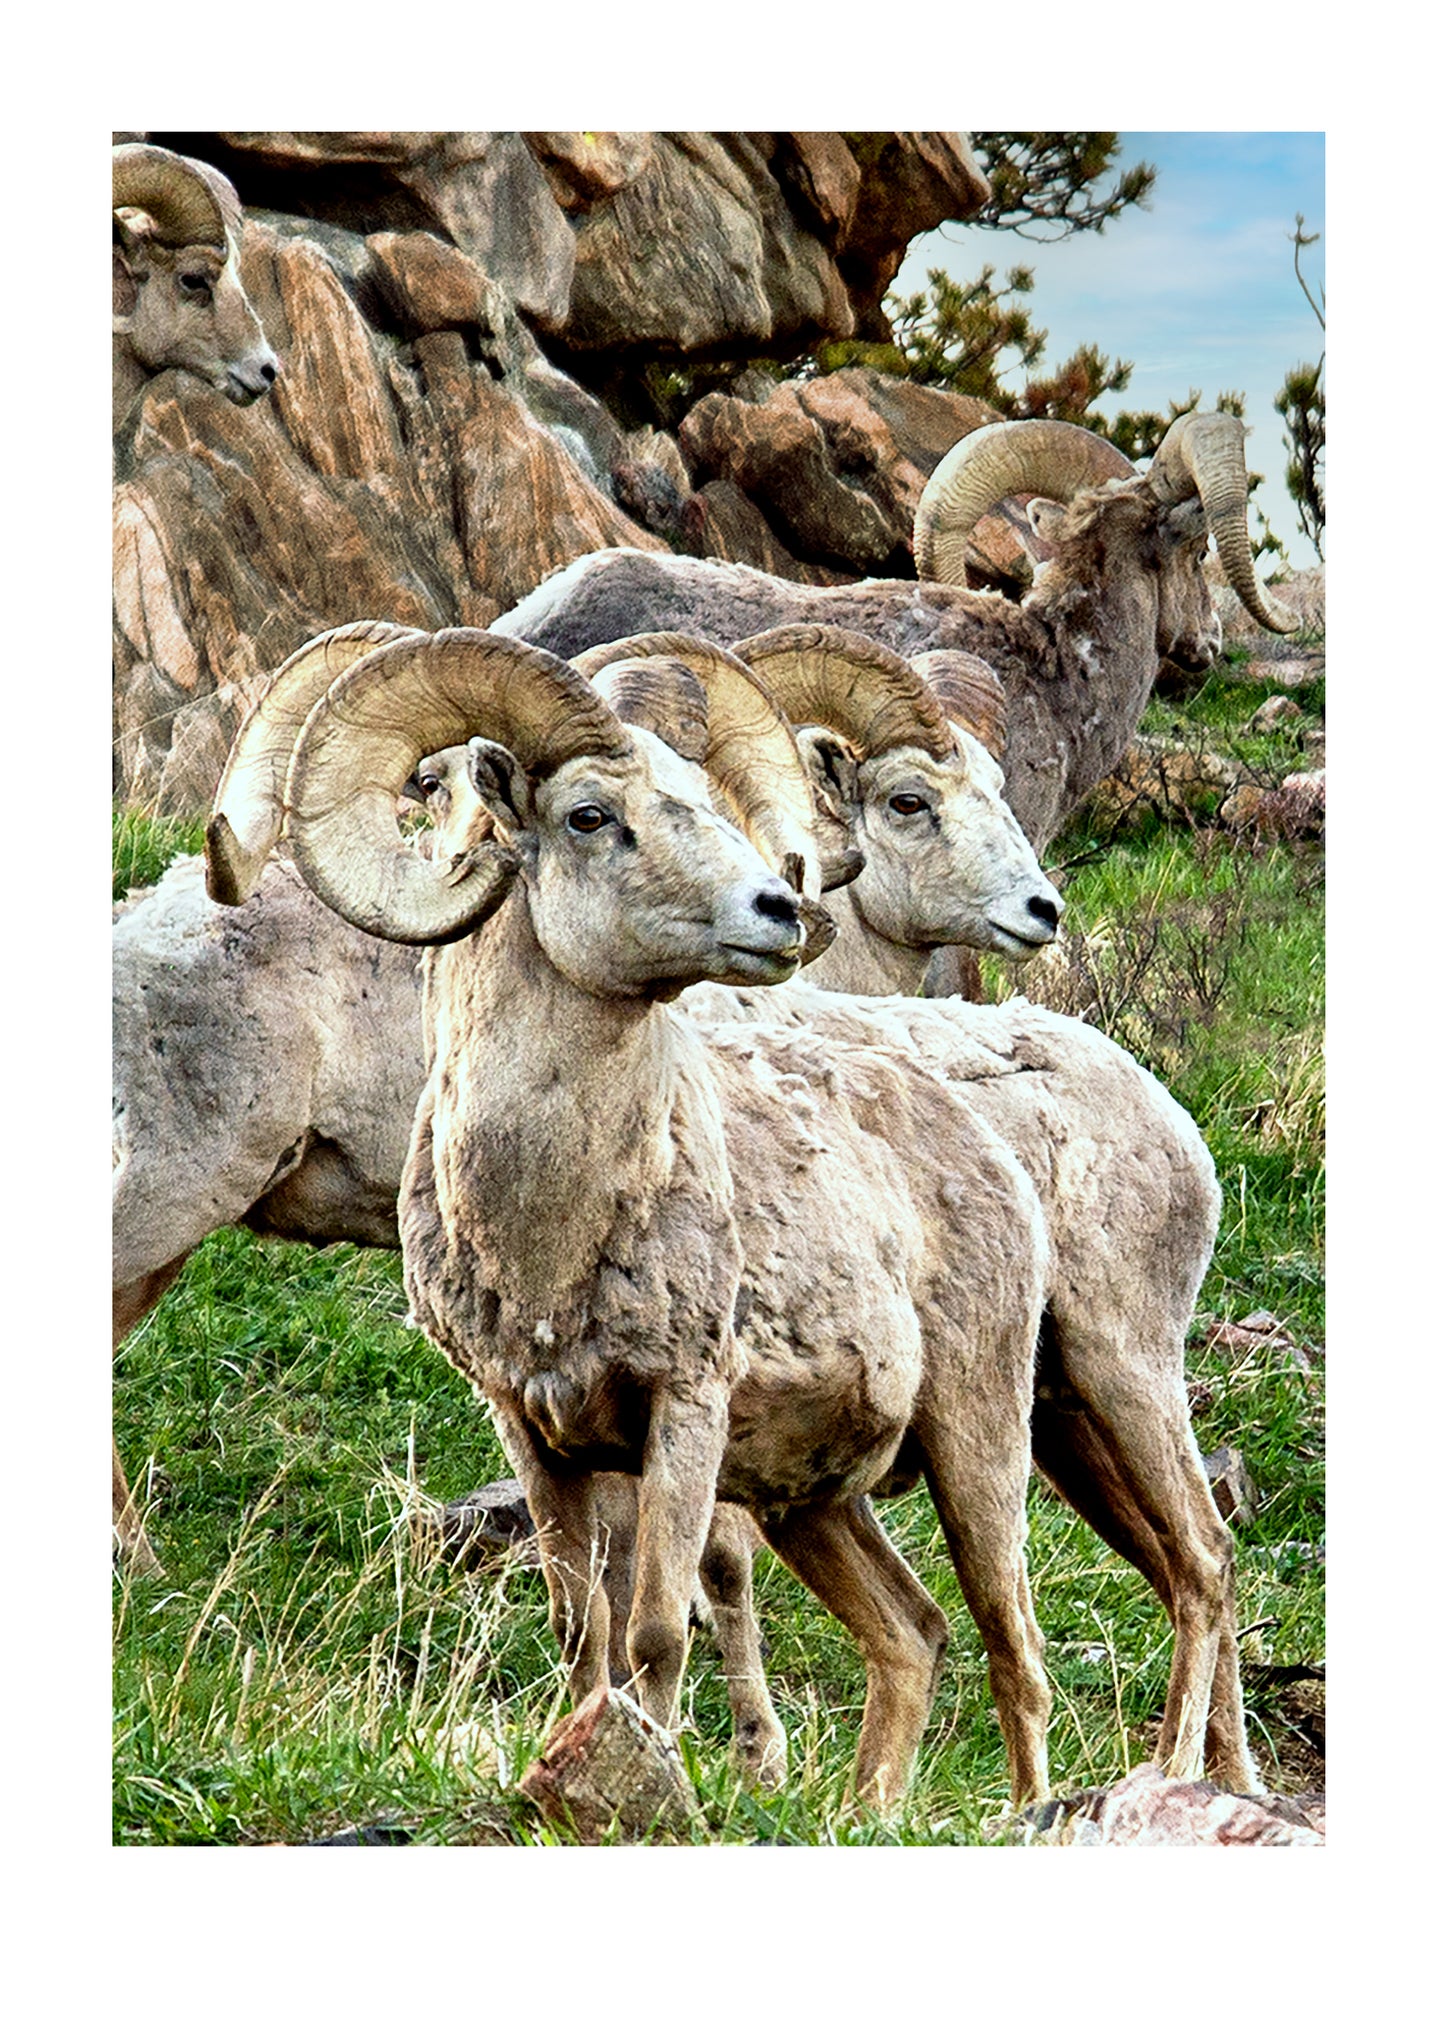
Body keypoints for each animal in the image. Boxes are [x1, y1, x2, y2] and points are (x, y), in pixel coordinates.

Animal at [275, 624, 1060, 1811]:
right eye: (590, 816)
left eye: (702, 793)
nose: (779, 913)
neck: (547, 1242)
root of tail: (977, 1143)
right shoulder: (537, 1431)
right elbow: (581, 1630)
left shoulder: (683, 1411)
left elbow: (653, 1633)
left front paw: (658, 1779)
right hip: (811, 1502)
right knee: (911, 1633)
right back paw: (864, 1810)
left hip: (977, 1441)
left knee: (1012, 1649)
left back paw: (1028, 1814)